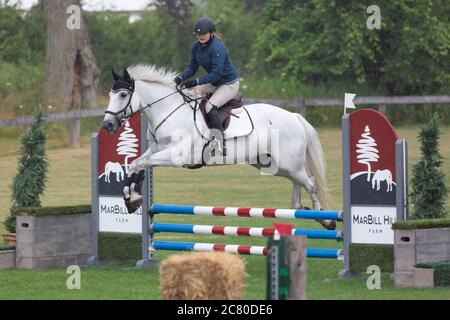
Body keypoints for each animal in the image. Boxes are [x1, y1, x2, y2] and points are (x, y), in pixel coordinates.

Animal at [102, 65, 334, 230]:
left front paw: (132, 197)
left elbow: (140, 164)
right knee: (298, 182)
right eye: (110, 95)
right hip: (272, 164)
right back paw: (300, 208)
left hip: (288, 163)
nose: (108, 125)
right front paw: (132, 198)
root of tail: (294, 117)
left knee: (310, 182)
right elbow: (137, 164)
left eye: (123, 95)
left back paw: (325, 220)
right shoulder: (156, 150)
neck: (169, 111)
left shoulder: (176, 156)